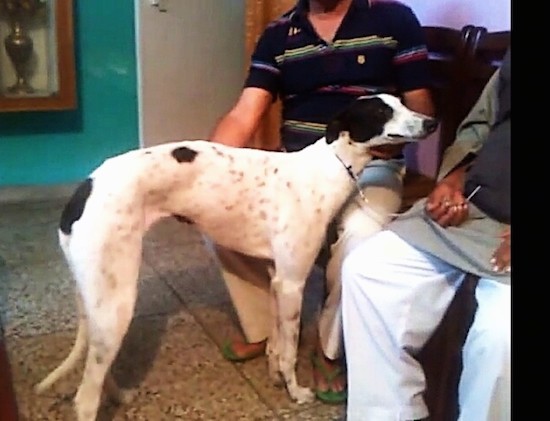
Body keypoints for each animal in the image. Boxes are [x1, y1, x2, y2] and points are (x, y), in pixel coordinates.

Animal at [34, 93, 440, 418]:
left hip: (102, 306)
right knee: (85, 397)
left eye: (402, 101)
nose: (432, 122)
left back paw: (119, 395)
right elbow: (289, 349)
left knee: (98, 372)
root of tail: (82, 190)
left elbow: (276, 345)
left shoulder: (277, 280)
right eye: (380, 110)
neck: (330, 164)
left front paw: (276, 376)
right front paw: (296, 392)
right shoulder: (292, 282)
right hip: (116, 304)